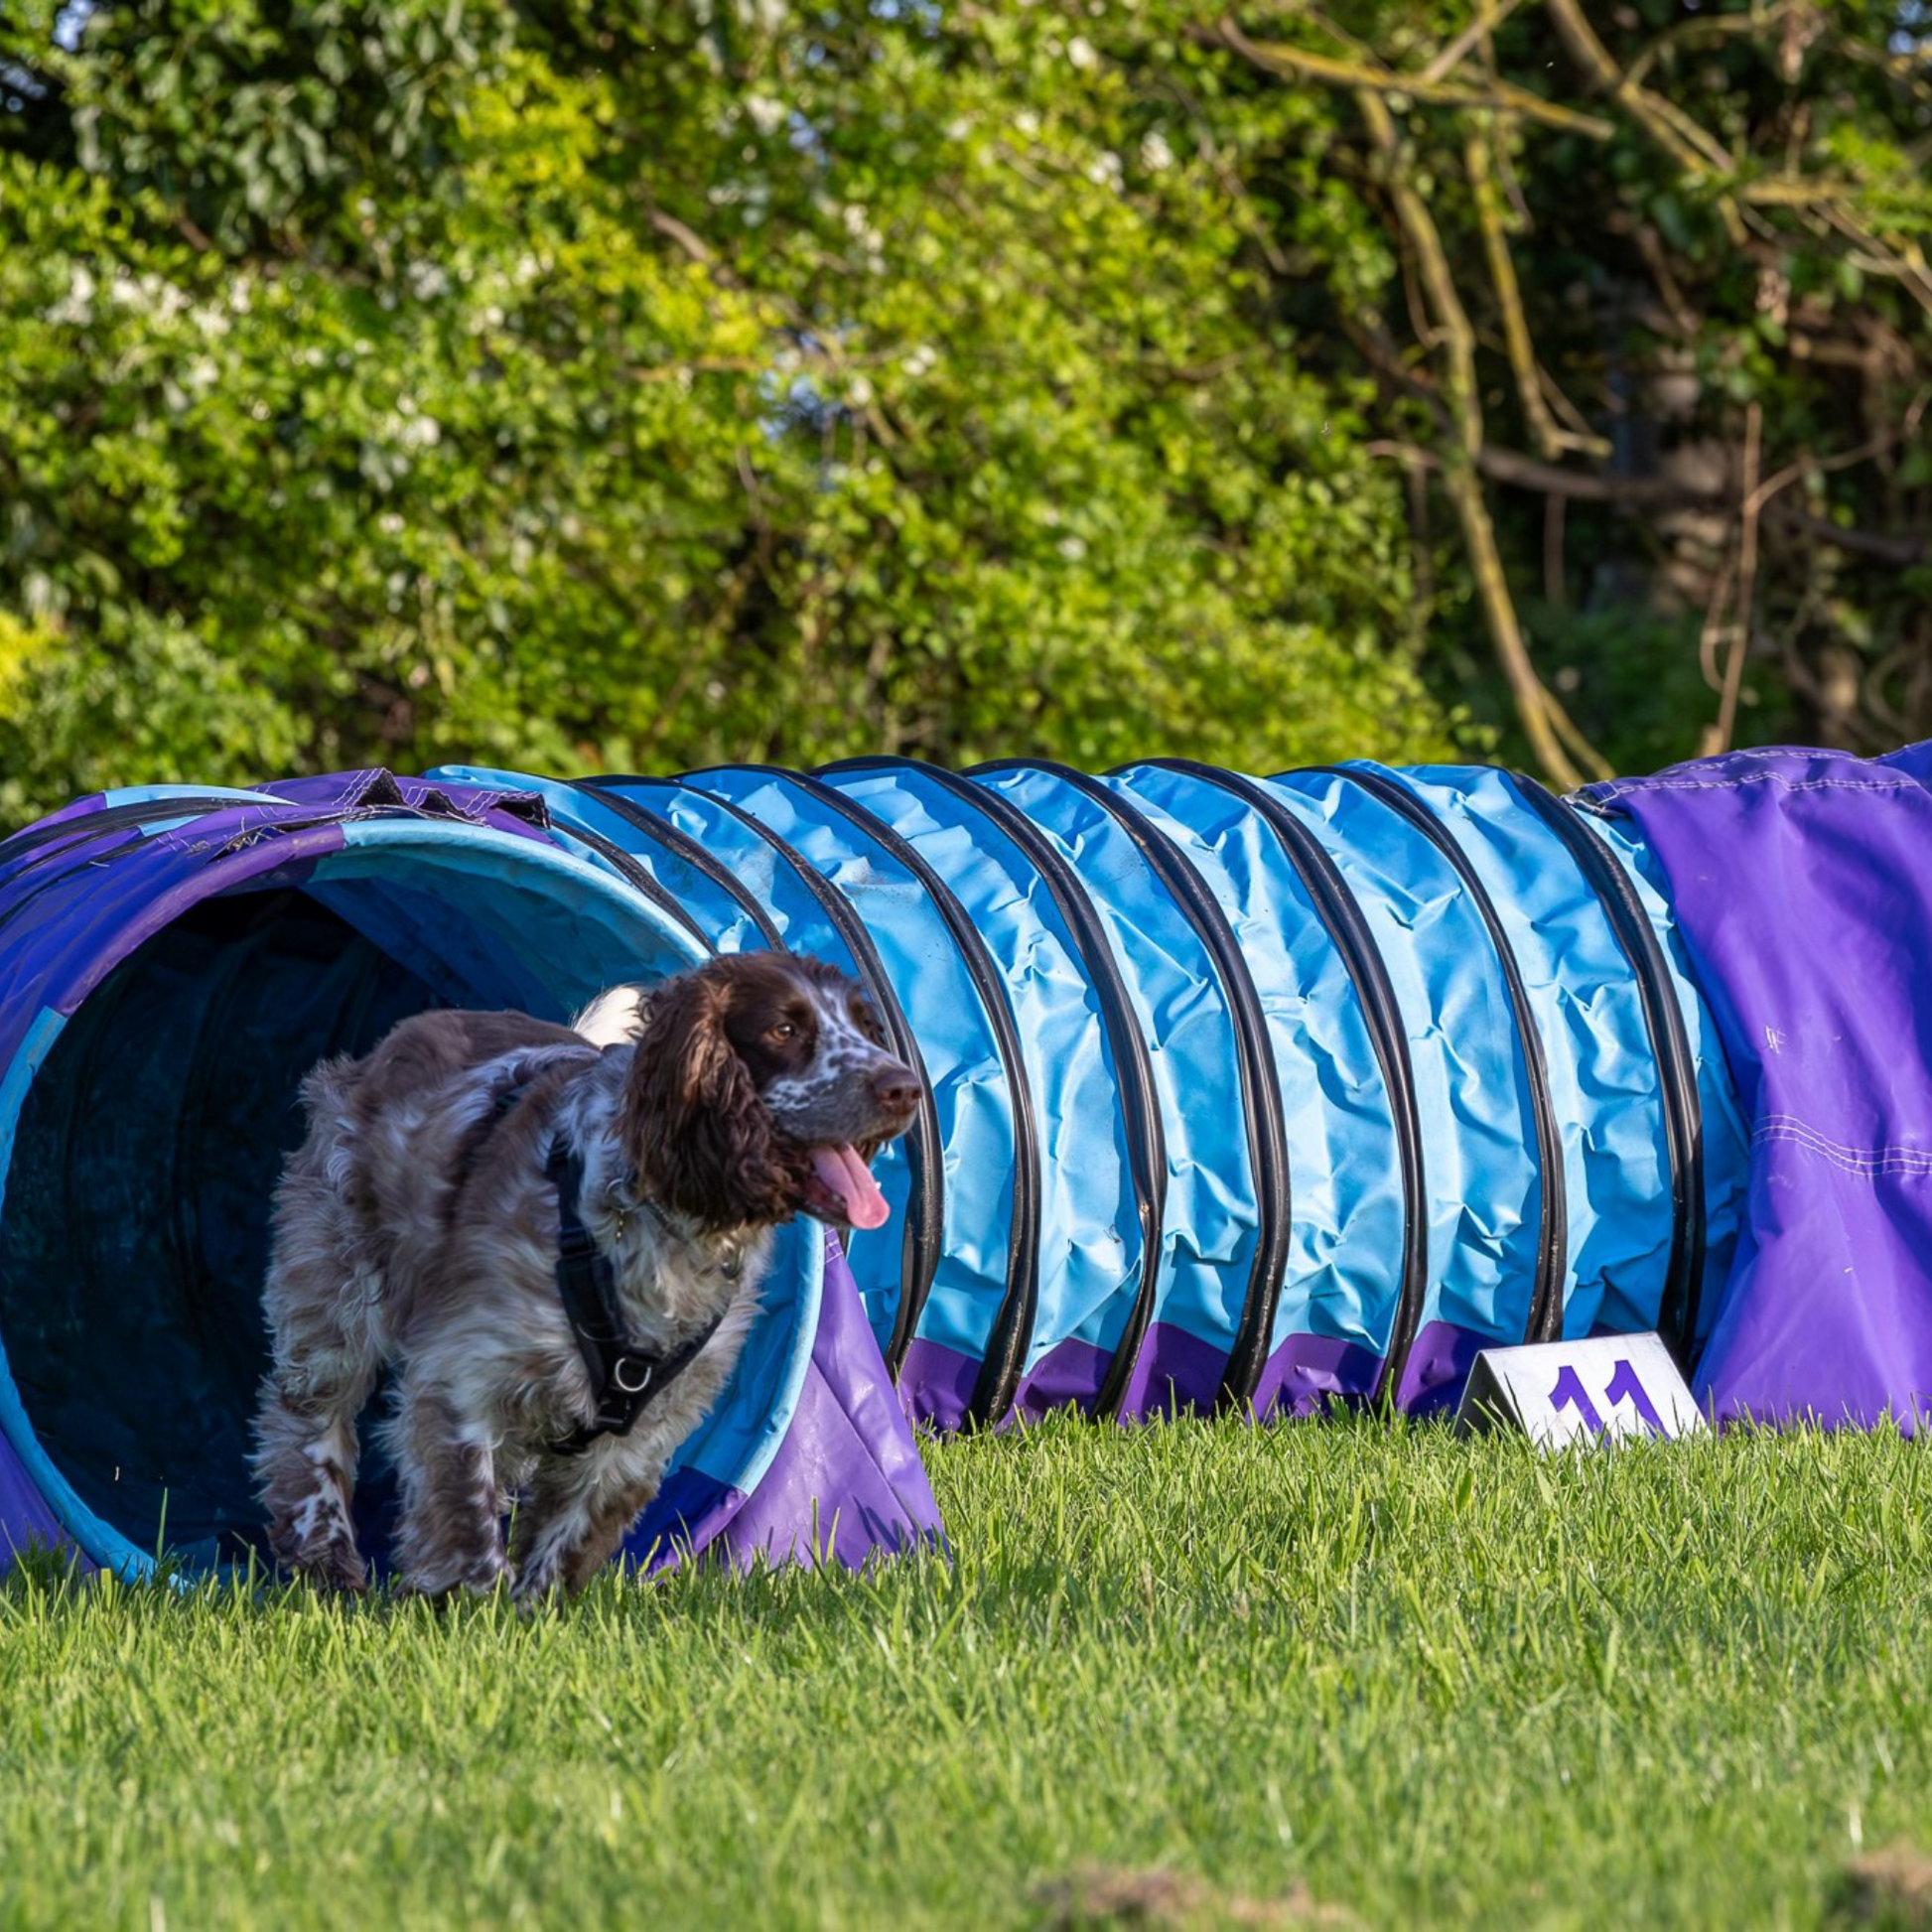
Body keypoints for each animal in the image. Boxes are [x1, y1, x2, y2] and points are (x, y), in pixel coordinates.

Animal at [250, 950, 919, 1599]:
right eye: (785, 1029)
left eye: (864, 1027)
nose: (907, 1087)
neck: (663, 1225)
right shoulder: (464, 1371)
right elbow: (466, 1516)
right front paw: (474, 1605)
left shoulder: (640, 1435)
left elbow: (565, 1543)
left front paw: (533, 1612)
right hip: (336, 1293)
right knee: (307, 1425)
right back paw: (325, 1558)